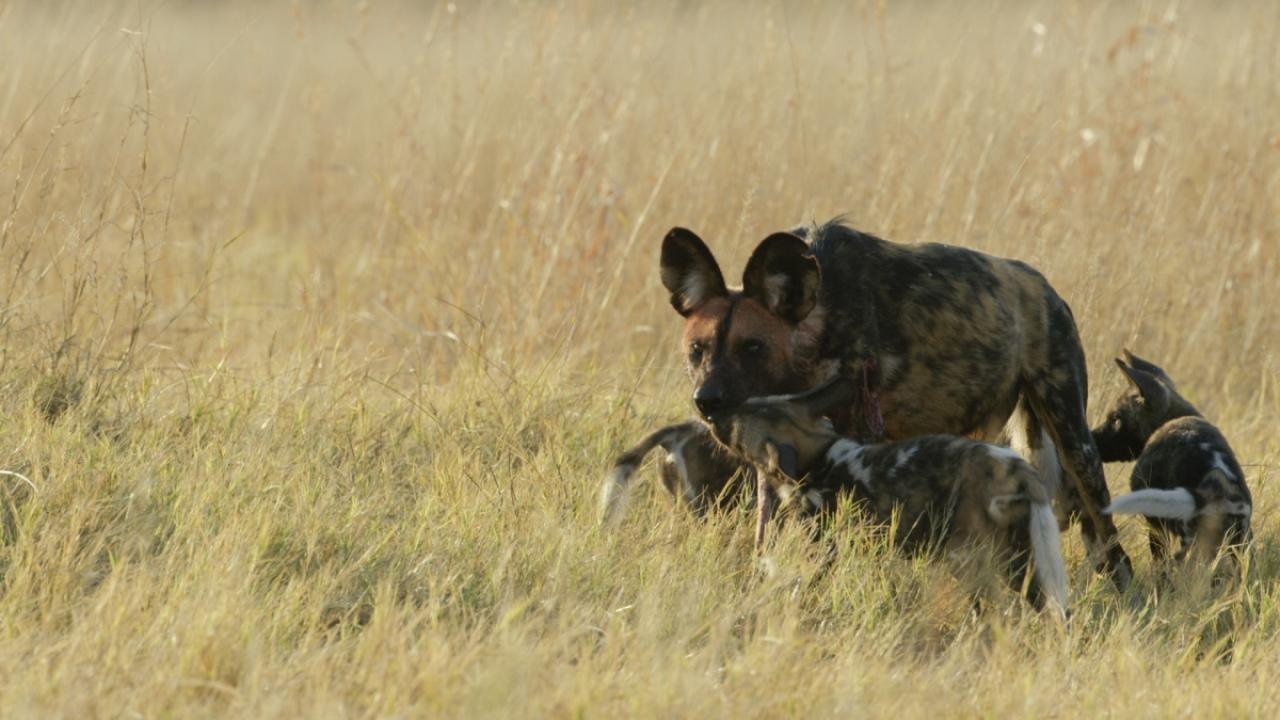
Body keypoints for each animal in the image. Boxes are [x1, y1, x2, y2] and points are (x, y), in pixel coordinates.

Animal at [660, 217, 1131, 584]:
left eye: (752, 348)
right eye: (697, 350)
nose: (708, 401)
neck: (818, 323)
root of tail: (1047, 288)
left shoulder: (852, 444)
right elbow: (765, 536)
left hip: (1075, 442)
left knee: (1112, 547)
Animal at [711, 371, 1070, 614]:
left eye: (733, 431)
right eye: (747, 404)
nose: (710, 411)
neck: (817, 457)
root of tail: (1017, 466)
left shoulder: (826, 548)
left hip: (976, 558)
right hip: (1022, 558)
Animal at [1090, 351, 1249, 568]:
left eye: (1115, 418)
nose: (1091, 438)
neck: (1171, 418)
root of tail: (1217, 487)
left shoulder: (1156, 527)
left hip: (1184, 546)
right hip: (1237, 550)